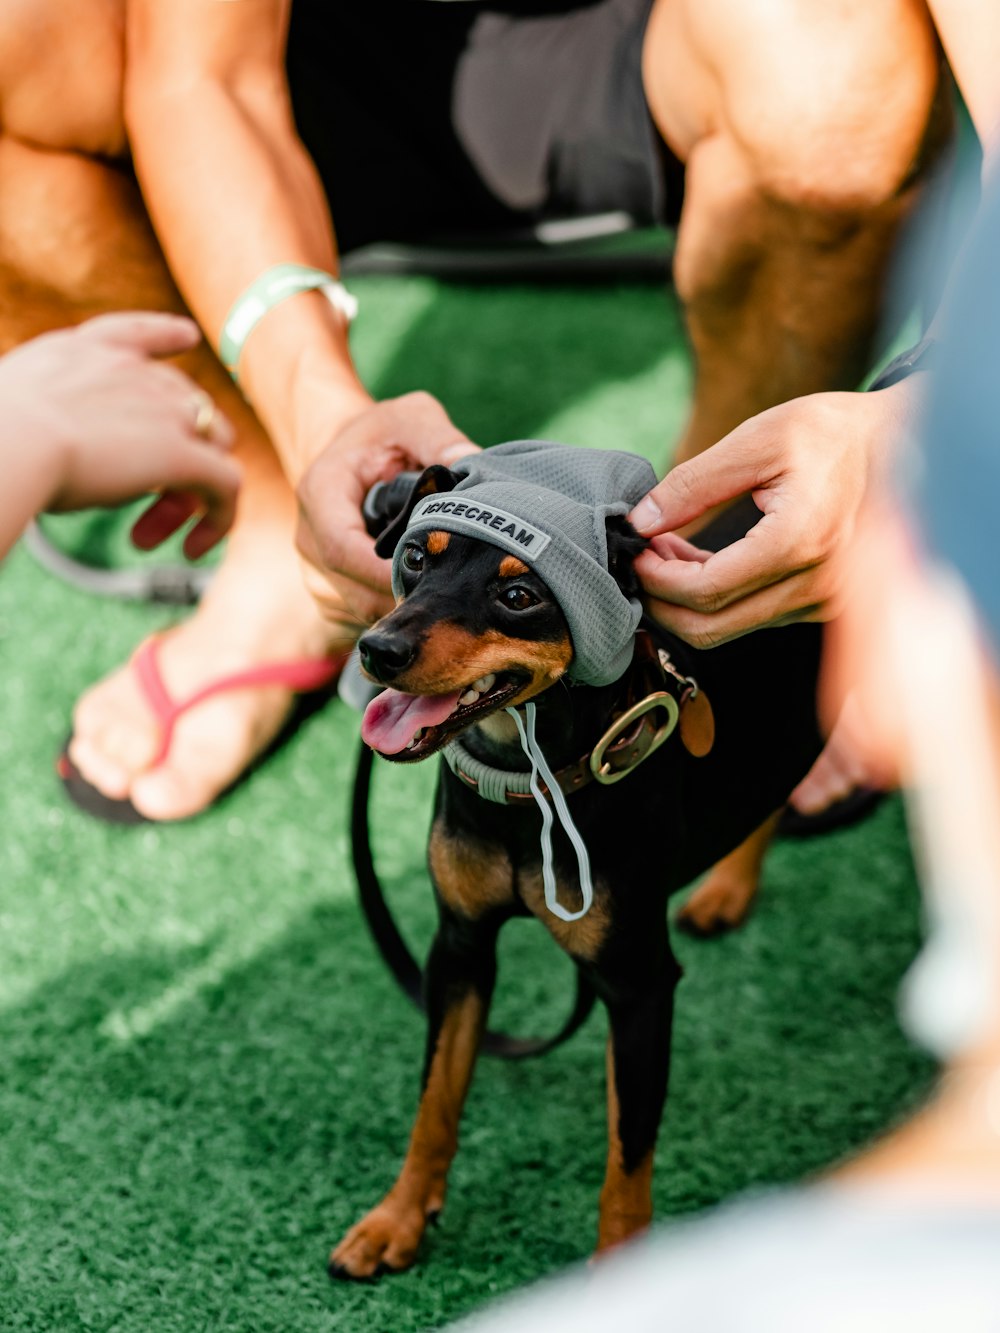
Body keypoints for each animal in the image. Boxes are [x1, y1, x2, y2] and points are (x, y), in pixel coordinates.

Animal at [333, 485, 826, 1274]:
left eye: (519, 594)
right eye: (414, 557)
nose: (378, 650)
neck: (526, 778)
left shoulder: (639, 987)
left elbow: (627, 1163)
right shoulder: (460, 949)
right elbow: (434, 1099)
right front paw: (397, 1219)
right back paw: (727, 889)